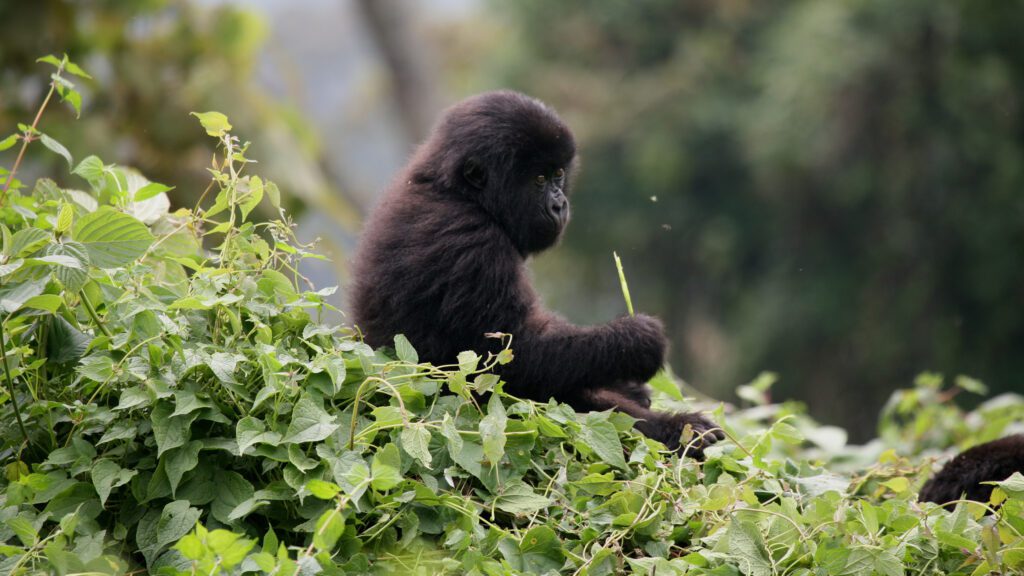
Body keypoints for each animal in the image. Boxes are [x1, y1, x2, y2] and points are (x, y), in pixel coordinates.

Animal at [350, 90, 720, 453]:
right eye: (539, 179)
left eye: (558, 175)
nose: (559, 205)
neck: (458, 192)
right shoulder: (472, 244)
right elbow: (514, 359)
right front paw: (637, 341)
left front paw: (631, 383)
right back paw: (679, 430)